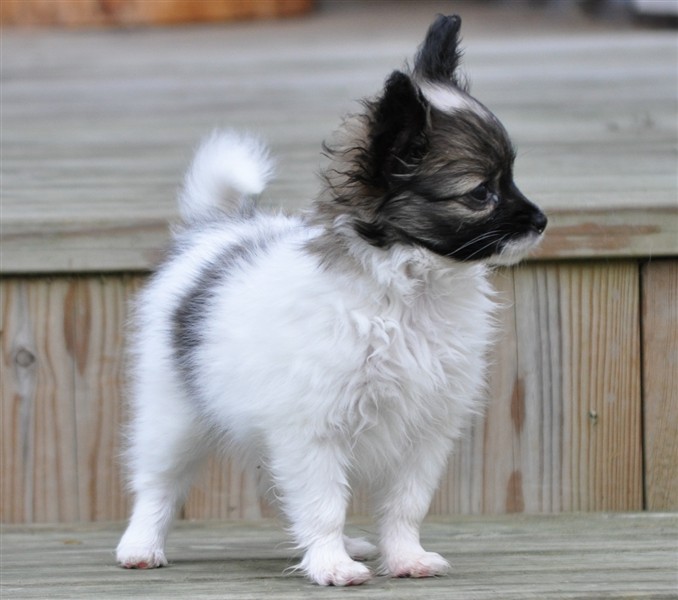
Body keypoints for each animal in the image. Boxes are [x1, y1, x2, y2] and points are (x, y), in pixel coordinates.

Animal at [116, 14, 547, 586]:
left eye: (512, 177)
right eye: (481, 193)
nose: (542, 222)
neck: (408, 294)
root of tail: (214, 230)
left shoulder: (425, 431)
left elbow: (404, 505)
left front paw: (403, 558)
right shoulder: (313, 430)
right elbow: (323, 504)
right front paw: (330, 565)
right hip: (174, 414)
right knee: (158, 483)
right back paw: (141, 545)